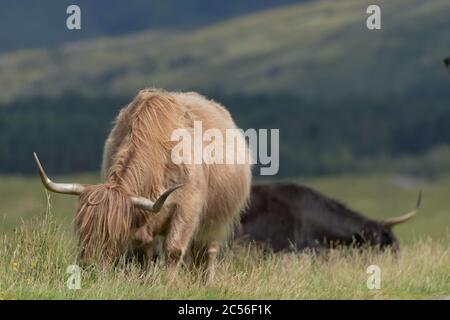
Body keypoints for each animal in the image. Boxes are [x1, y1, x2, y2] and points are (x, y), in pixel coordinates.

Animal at [34, 89, 253, 278]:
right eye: (81, 229)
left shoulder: (188, 208)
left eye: (114, 235)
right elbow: (144, 254)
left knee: (207, 250)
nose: (89, 267)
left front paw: (168, 285)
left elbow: (174, 249)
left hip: (216, 221)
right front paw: (146, 281)